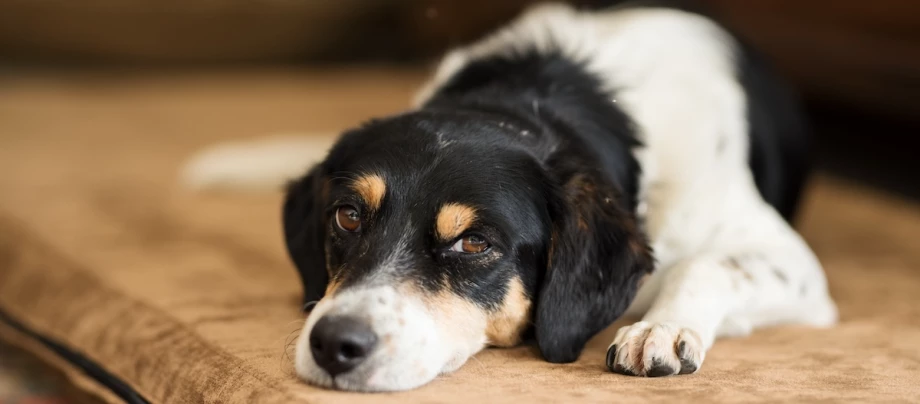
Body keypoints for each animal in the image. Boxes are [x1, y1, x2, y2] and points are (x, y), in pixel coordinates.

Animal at [183, 2, 836, 392]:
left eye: (474, 243)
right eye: (347, 215)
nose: (333, 345)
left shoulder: (794, 264)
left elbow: (705, 265)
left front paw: (661, 328)